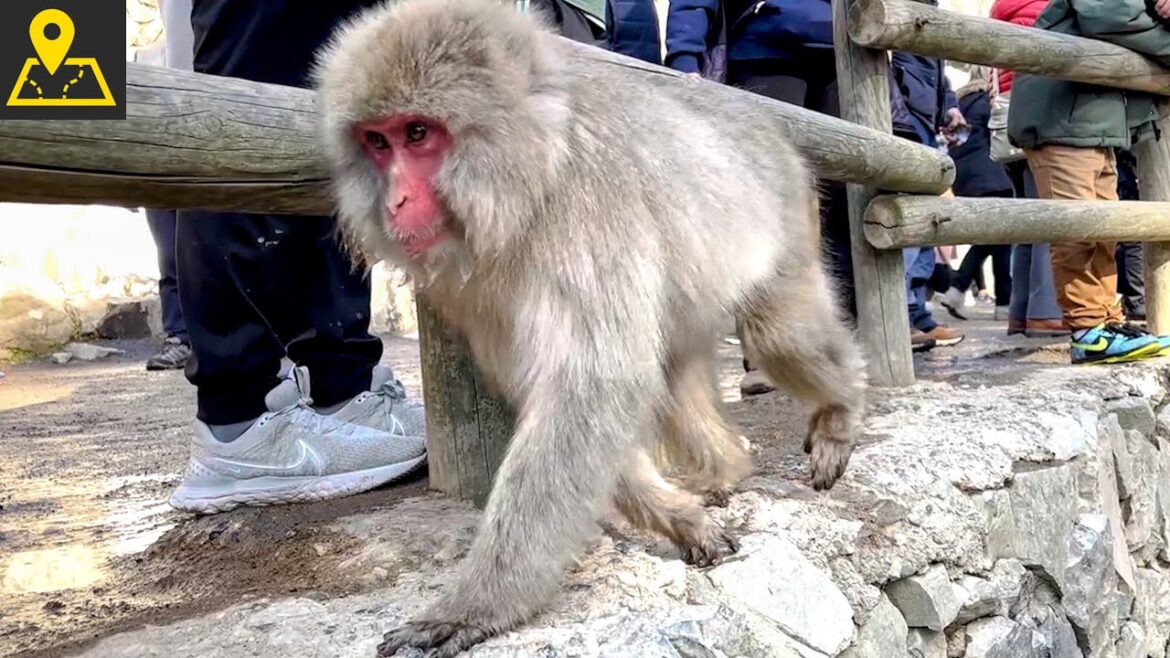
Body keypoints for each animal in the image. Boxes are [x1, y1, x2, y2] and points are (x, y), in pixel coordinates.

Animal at [312, 0, 868, 655]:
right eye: (377, 141)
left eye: (418, 134)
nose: (395, 201)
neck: (533, 173)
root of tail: (768, 123)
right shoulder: (474, 286)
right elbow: (571, 395)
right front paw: (682, 521)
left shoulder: (585, 215)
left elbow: (593, 388)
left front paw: (479, 604)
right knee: (673, 370)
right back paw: (725, 469)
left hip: (786, 218)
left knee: (774, 333)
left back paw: (841, 409)